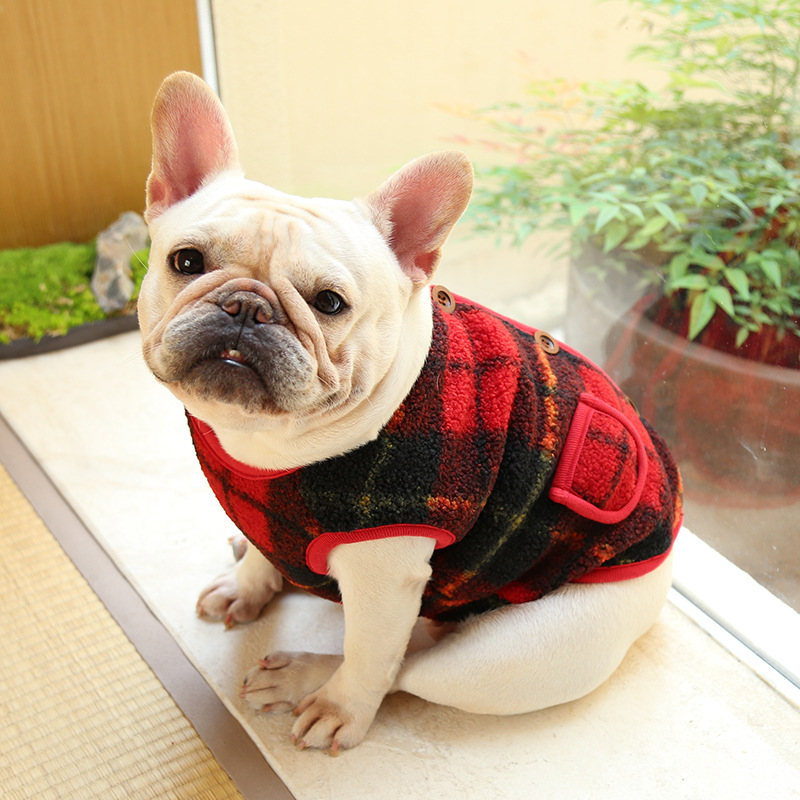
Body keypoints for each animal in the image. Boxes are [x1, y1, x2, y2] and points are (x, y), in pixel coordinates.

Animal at [138, 72, 682, 753]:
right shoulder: (264, 514)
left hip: (505, 657)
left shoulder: (383, 579)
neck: (268, 444)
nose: (246, 308)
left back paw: (310, 680)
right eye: (186, 262)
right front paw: (250, 584)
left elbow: (372, 656)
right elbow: (266, 551)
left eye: (330, 303)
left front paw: (339, 708)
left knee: (406, 667)